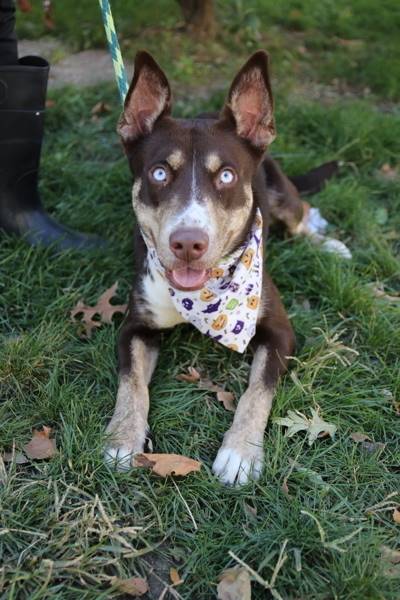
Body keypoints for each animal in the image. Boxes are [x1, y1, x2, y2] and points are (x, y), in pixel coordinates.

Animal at [104, 49, 350, 486]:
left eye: (227, 175)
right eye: (159, 173)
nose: (187, 243)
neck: (202, 298)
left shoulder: (280, 331)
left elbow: (257, 391)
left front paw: (239, 453)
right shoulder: (135, 327)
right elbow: (131, 383)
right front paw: (123, 437)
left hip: (280, 192)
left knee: (300, 212)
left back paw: (327, 241)